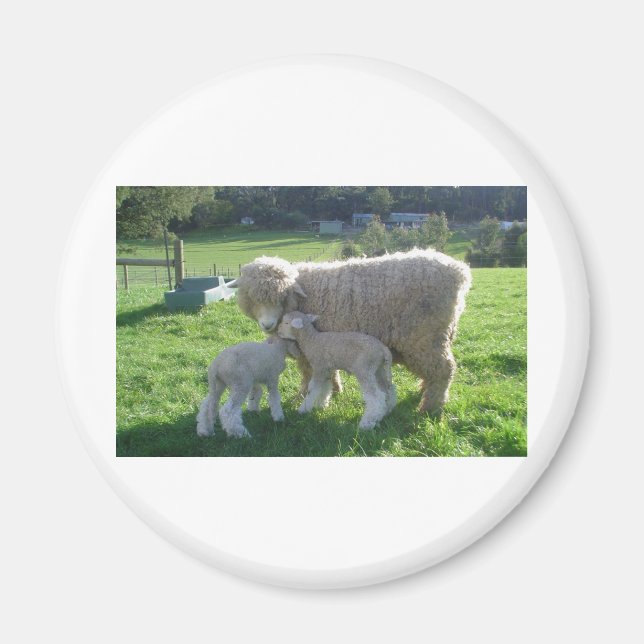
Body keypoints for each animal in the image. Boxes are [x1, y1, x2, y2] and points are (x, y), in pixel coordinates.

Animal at [227, 249, 471, 415]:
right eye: (250, 296)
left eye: (282, 296)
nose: (267, 325)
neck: (302, 295)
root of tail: (459, 271)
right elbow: (329, 372)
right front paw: (335, 390)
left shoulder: (307, 350)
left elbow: (307, 374)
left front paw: (302, 396)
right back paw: (425, 391)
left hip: (424, 336)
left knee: (443, 369)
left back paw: (430, 407)